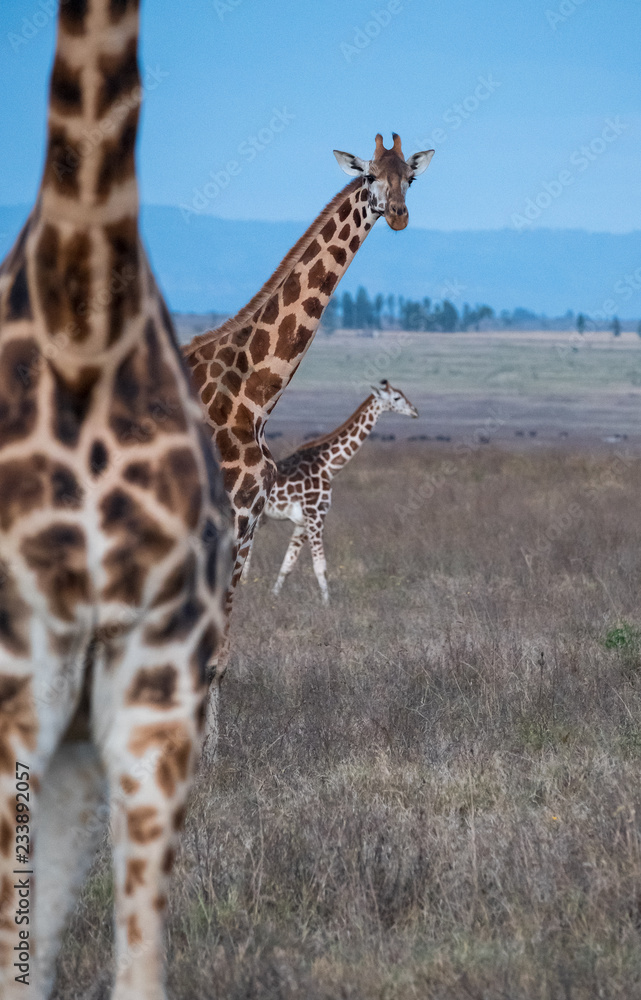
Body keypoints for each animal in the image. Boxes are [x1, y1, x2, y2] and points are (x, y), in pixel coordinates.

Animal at [242, 380, 418, 602]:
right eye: (396, 398)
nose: (415, 411)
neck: (328, 466)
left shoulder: (302, 522)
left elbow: (287, 565)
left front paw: (274, 596)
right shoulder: (316, 516)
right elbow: (320, 566)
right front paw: (327, 603)